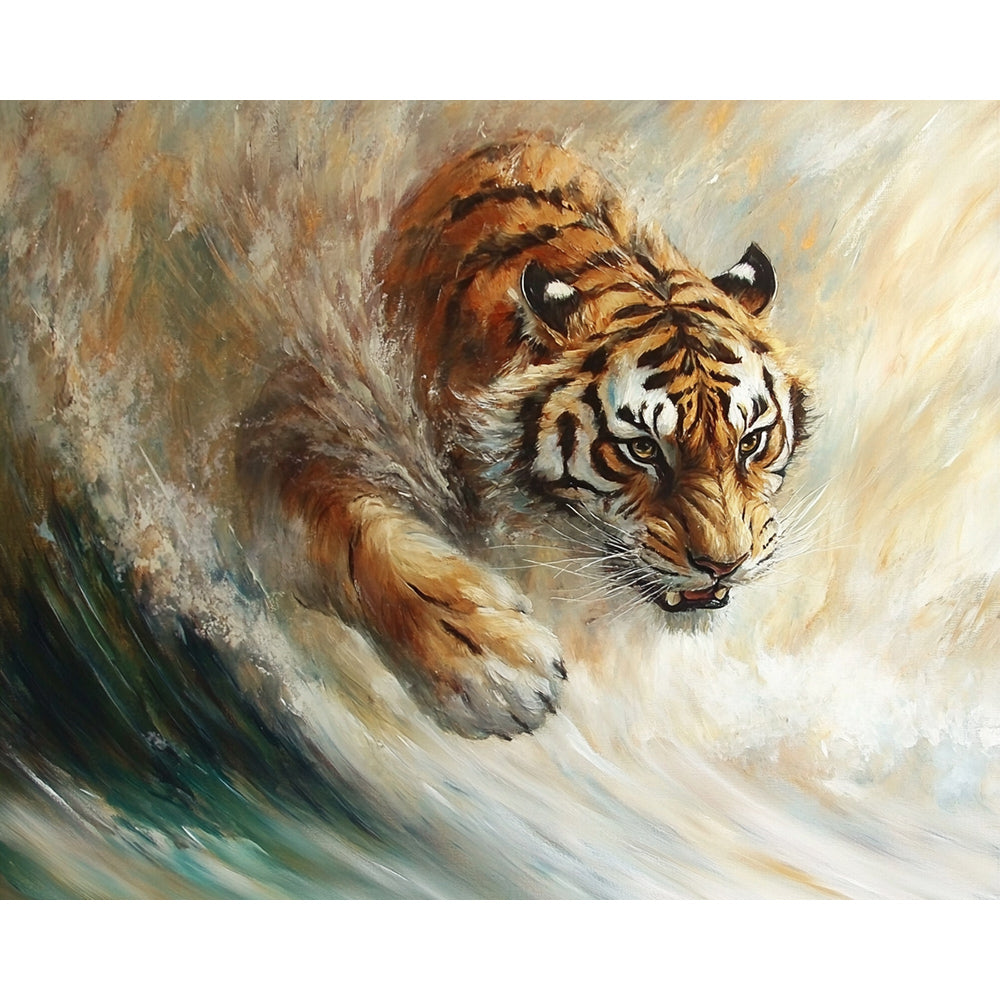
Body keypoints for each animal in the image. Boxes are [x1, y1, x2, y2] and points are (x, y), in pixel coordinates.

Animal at [237, 136, 808, 740]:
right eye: (642, 449)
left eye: (751, 441)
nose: (726, 565)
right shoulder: (296, 423)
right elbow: (357, 534)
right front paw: (494, 662)